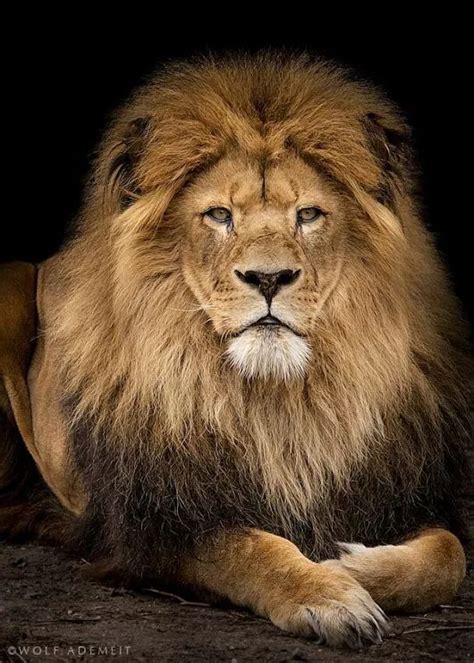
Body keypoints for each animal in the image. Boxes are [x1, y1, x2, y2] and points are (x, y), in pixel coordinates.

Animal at [0, 52, 472, 648]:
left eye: (308, 215)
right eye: (220, 215)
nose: (268, 278)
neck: (275, 399)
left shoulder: (399, 489)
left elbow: (448, 556)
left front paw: (350, 565)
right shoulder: (158, 524)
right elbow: (253, 549)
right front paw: (328, 594)